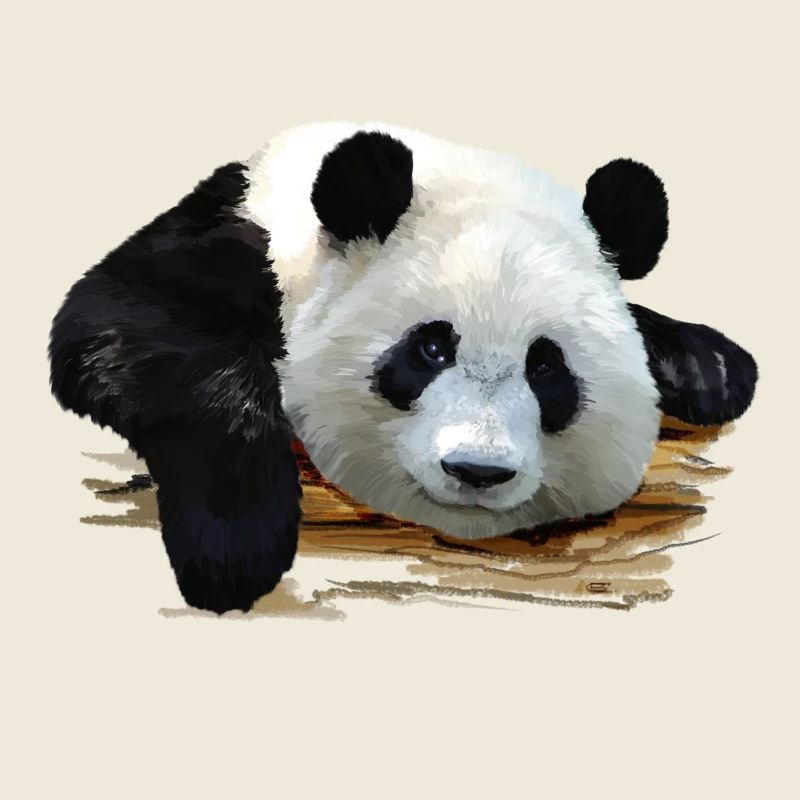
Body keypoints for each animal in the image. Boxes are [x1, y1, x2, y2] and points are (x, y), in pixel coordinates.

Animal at [49, 121, 758, 613]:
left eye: (546, 368)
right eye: (431, 349)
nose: (477, 471)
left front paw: (713, 367)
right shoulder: (229, 240)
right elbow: (123, 329)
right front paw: (232, 547)